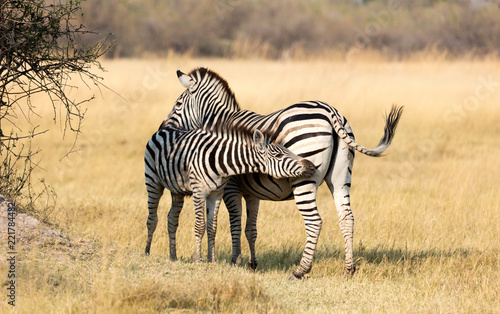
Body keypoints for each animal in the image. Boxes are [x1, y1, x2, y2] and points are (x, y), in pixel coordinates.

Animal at [146, 122, 316, 262]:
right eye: (279, 155)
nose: (311, 166)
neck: (220, 163)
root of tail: (165, 128)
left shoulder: (216, 194)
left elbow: (212, 227)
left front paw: (212, 260)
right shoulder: (199, 192)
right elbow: (200, 226)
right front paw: (198, 260)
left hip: (177, 190)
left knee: (172, 219)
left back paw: (173, 256)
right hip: (153, 182)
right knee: (152, 219)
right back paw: (147, 252)